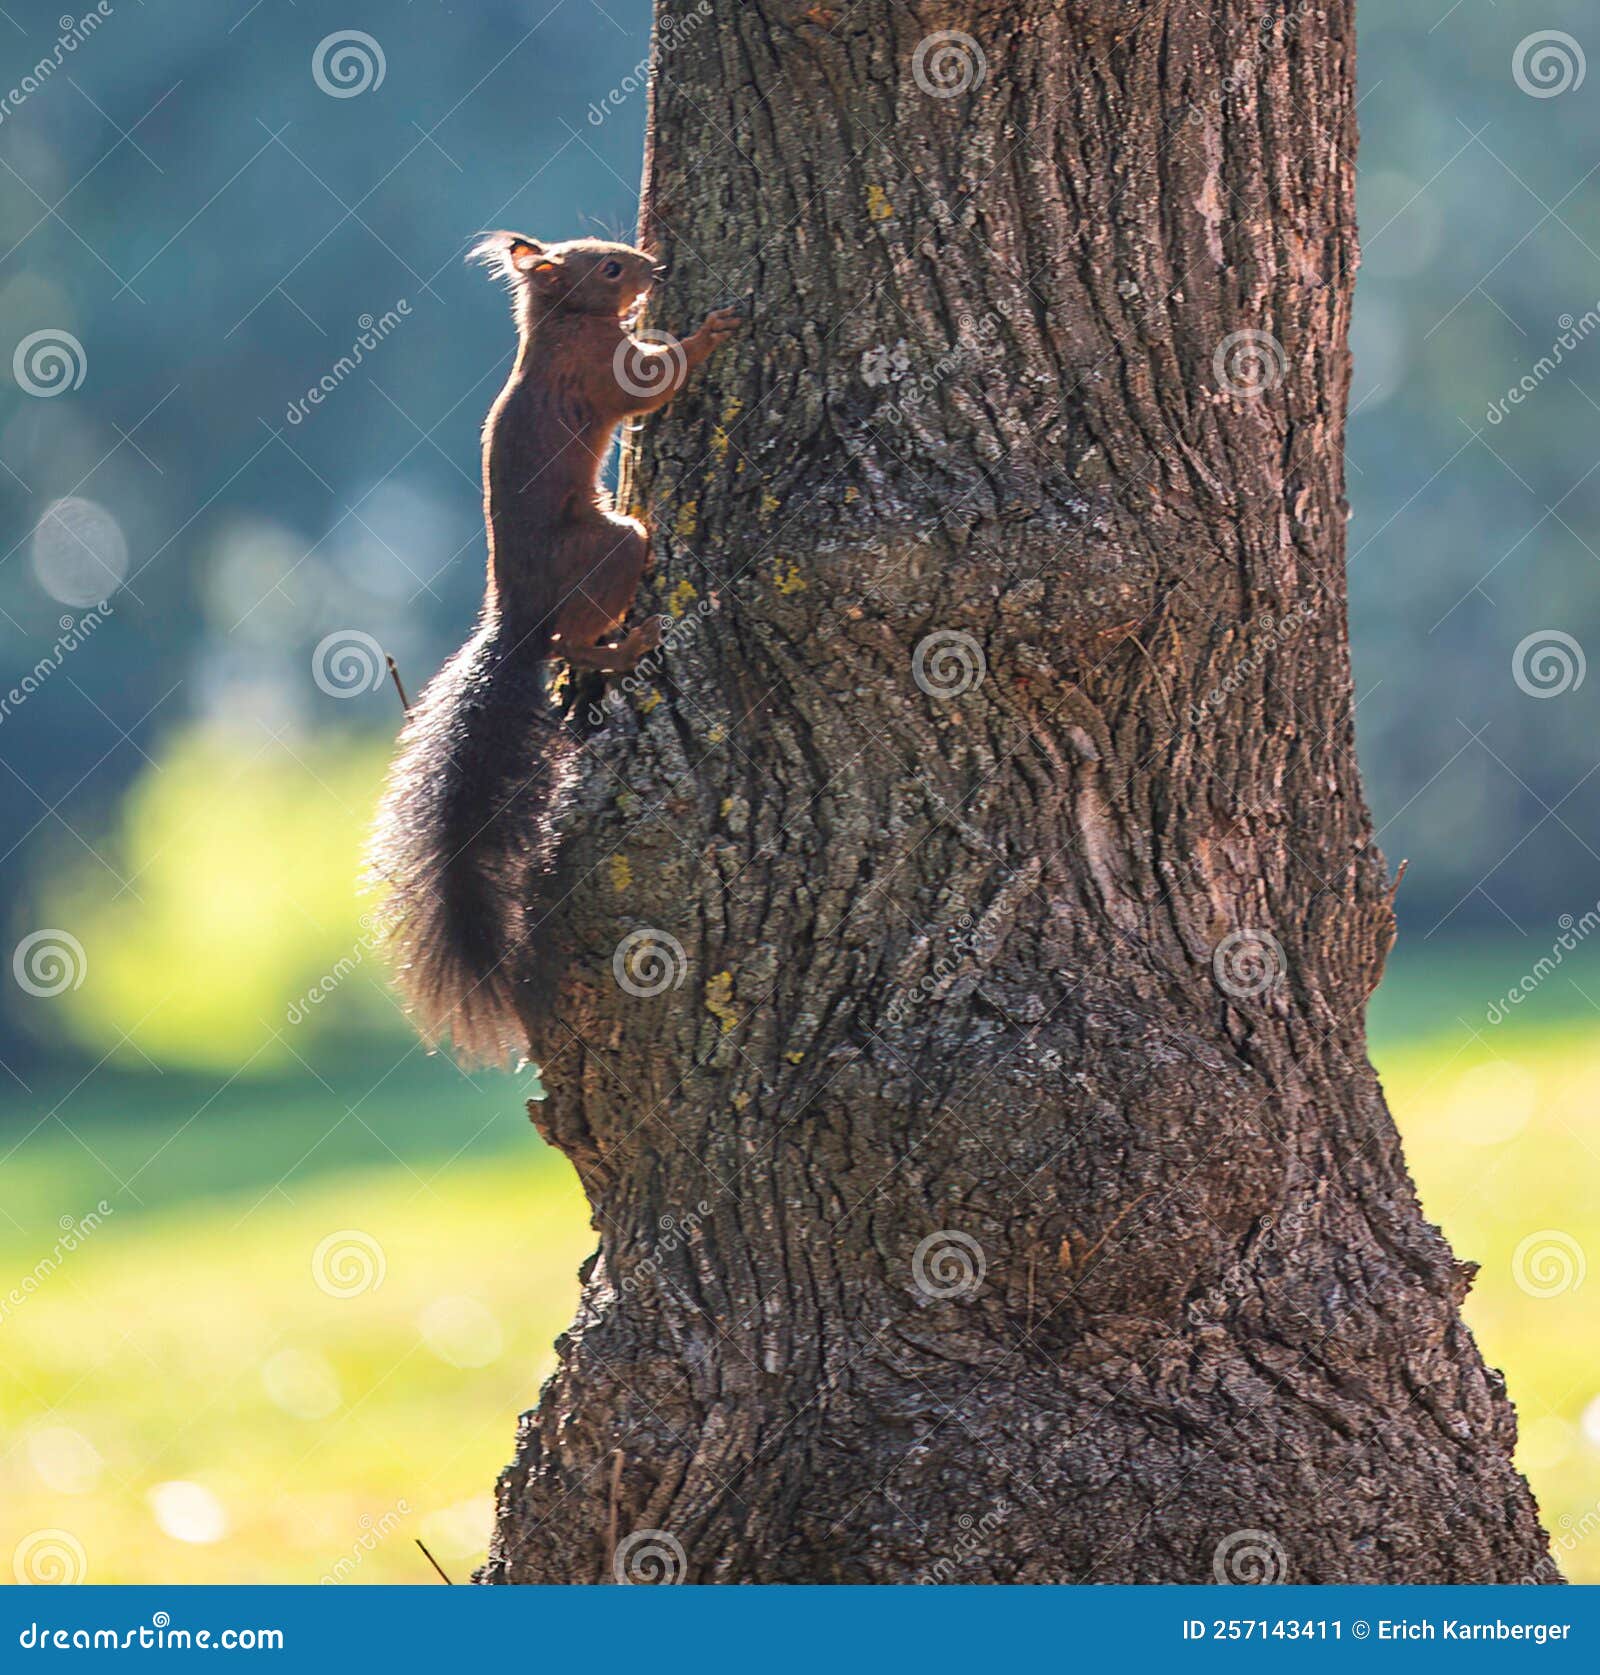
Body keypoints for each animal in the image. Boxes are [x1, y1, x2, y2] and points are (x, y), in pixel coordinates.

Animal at [368, 232, 743, 1065]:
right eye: (609, 267)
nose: (655, 267)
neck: (556, 324)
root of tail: (519, 619)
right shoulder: (600, 369)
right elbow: (651, 385)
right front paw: (708, 331)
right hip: (614, 545)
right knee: (576, 634)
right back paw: (626, 643)